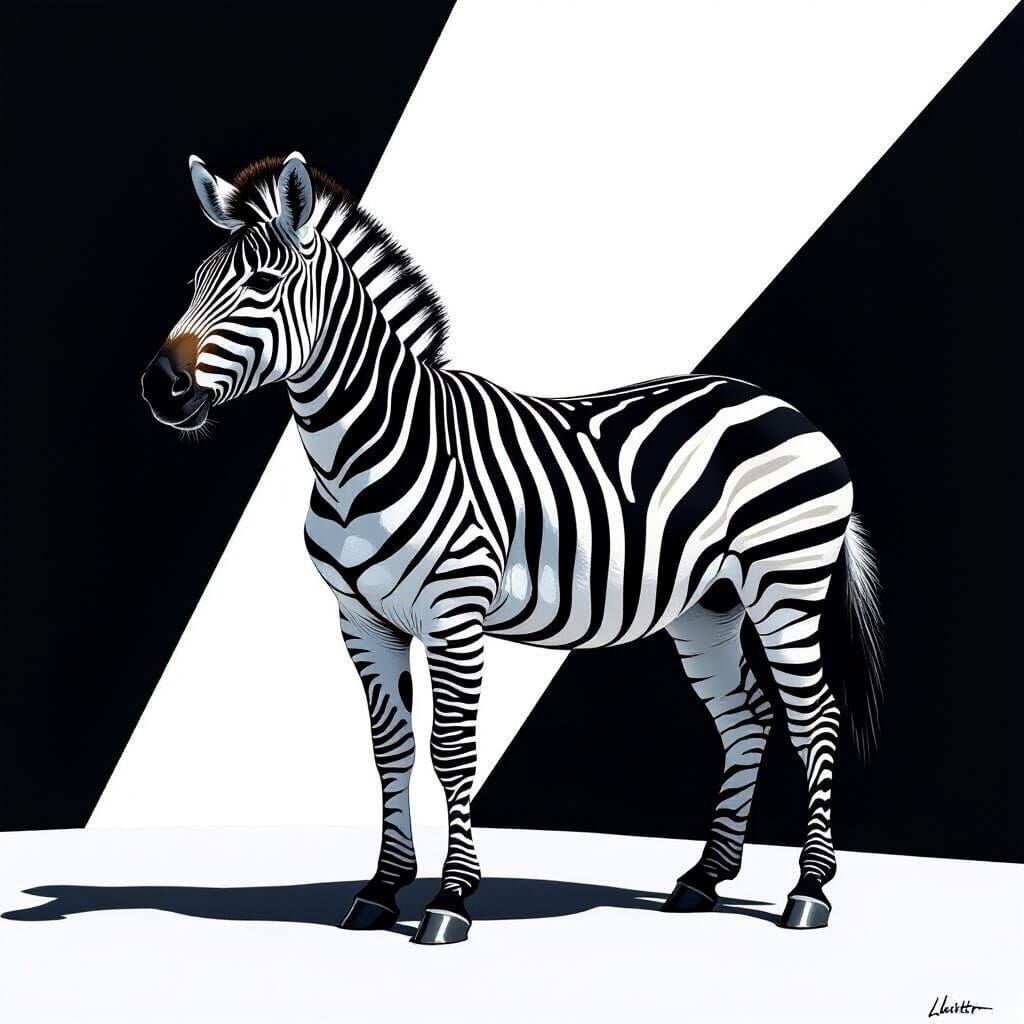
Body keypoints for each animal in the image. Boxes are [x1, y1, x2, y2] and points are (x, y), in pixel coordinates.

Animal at [141, 152, 884, 945]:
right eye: (192, 286)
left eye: (262, 285)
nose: (159, 387)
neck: (360, 451)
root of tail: (781, 405)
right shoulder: (361, 621)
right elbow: (391, 749)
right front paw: (382, 889)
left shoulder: (455, 612)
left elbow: (452, 750)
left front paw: (451, 899)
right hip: (706, 606)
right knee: (746, 718)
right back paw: (704, 878)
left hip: (786, 585)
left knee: (816, 719)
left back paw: (809, 891)